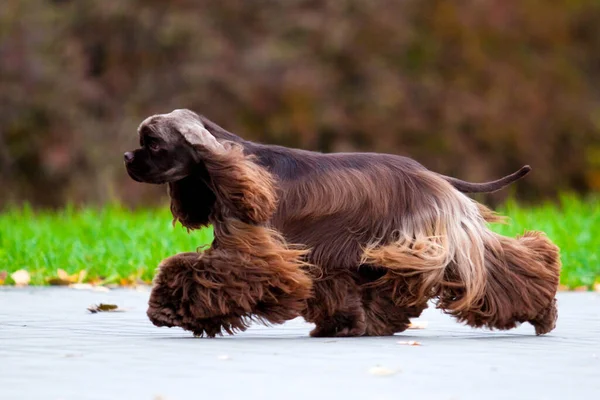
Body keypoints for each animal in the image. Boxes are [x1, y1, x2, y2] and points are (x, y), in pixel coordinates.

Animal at [124, 108, 560, 338]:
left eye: (153, 144)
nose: (127, 157)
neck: (229, 168)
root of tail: (431, 174)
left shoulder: (253, 251)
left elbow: (199, 273)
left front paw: (167, 310)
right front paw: (341, 324)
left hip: (429, 241)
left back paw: (542, 313)